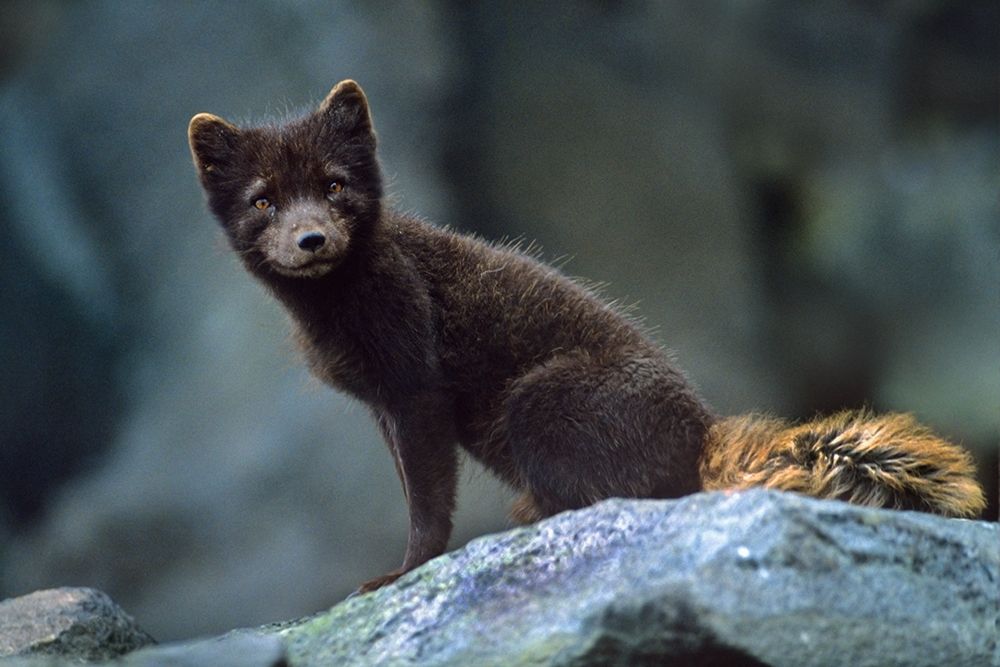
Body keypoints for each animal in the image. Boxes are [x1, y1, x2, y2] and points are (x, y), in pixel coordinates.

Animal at [188, 80, 985, 592]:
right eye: (263, 200)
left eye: (334, 184)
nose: (312, 238)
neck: (338, 311)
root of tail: (701, 428)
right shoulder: (382, 403)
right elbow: (413, 487)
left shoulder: (415, 384)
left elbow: (428, 500)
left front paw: (398, 574)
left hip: (537, 399)